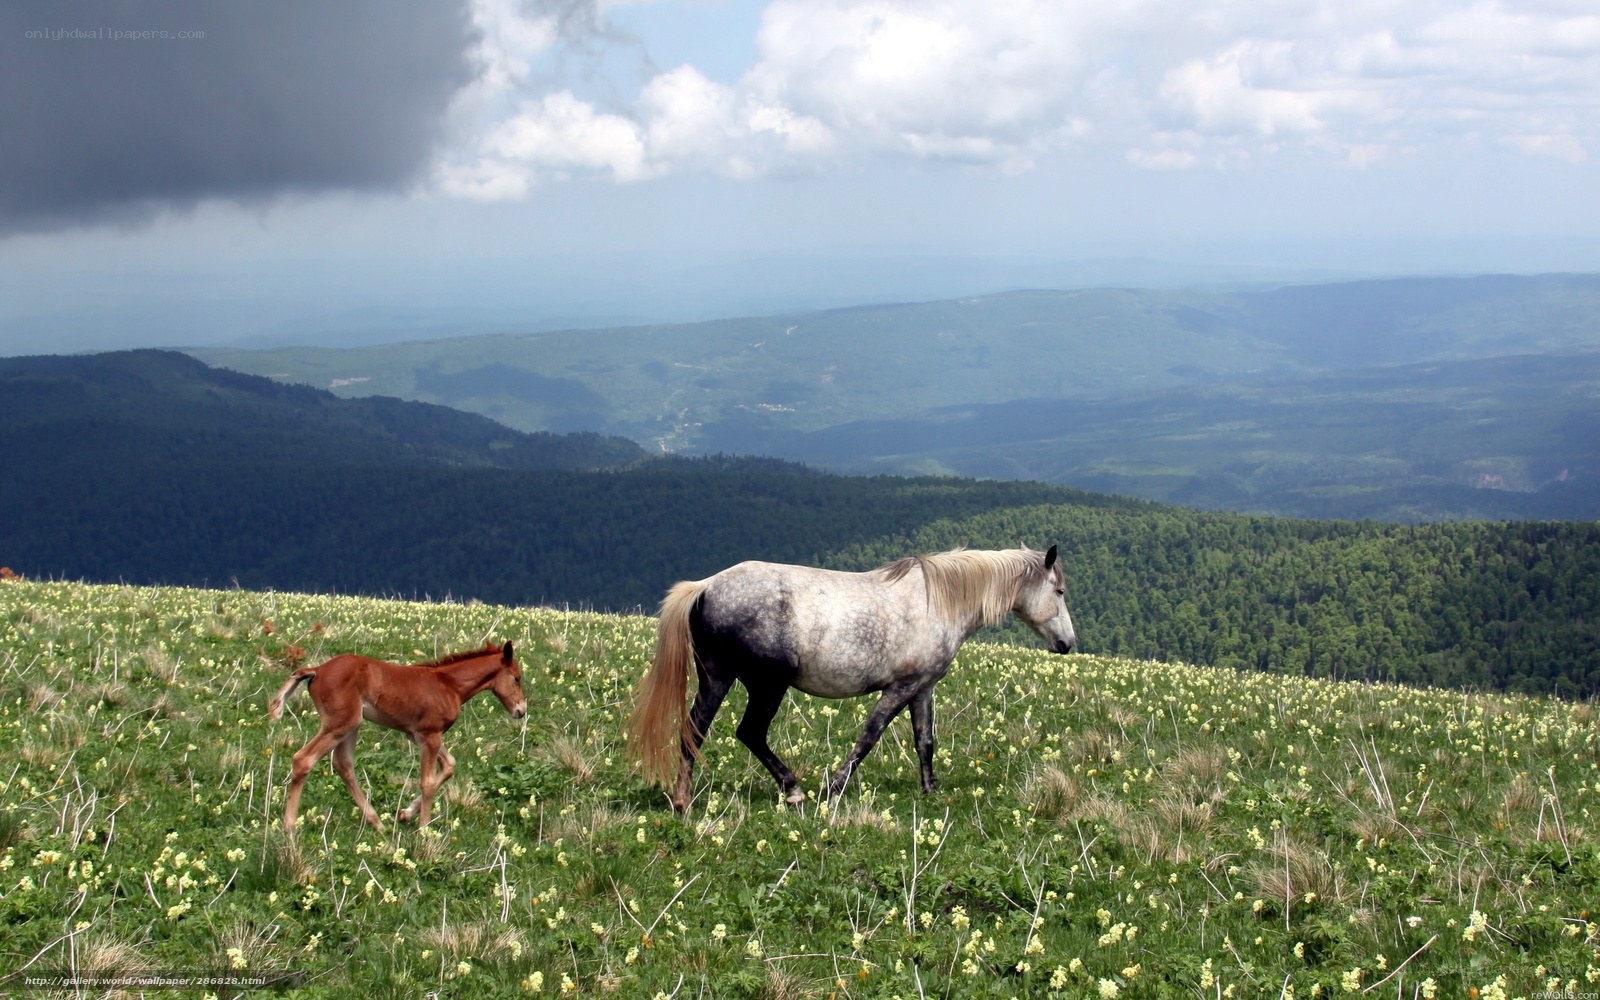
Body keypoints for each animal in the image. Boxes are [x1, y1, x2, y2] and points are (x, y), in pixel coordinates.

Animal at [267, 641, 526, 831]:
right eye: (517, 677)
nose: (521, 710)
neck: (448, 685)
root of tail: (317, 670)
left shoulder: (418, 735)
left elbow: (450, 766)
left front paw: (405, 814)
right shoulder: (430, 735)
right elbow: (428, 782)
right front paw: (424, 832)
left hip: (350, 726)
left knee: (343, 765)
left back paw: (377, 823)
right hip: (339, 724)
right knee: (304, 760)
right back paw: (289, 826)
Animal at [626, 545, 1076, 812]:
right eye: (1059, 592)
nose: (1067, 643)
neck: (938, 601)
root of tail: (706, 586)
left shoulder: (923, 688)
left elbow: (925, 742)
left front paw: (931, 791)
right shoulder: (900, 687)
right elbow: (869, 736)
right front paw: (834, 788)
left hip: (717, 679)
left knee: (694, 731)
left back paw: (683, 800)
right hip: (767, 685)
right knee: (750, 732)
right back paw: (793, 789)